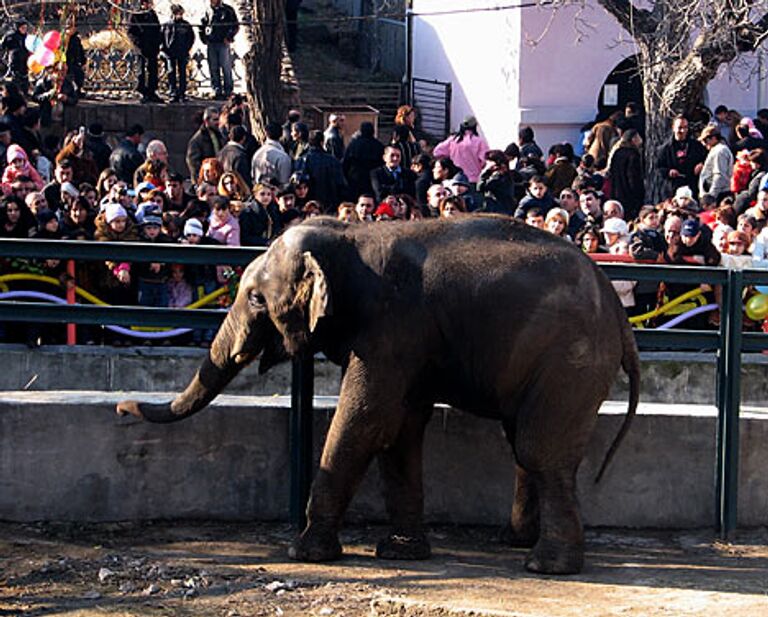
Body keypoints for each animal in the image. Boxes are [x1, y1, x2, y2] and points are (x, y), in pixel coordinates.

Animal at [117, 214, 640, 576]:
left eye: (256, 299)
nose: (123, 408)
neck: (352, 234)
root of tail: (619, 311)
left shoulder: (393, 327)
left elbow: (367, 420)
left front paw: (304, 552)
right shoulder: (407, 342)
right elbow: (400, 429)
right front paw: (401, 553)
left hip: (570, 359)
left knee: (538, 449)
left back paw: (545, 565)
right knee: (524, 444)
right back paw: (512, 542)